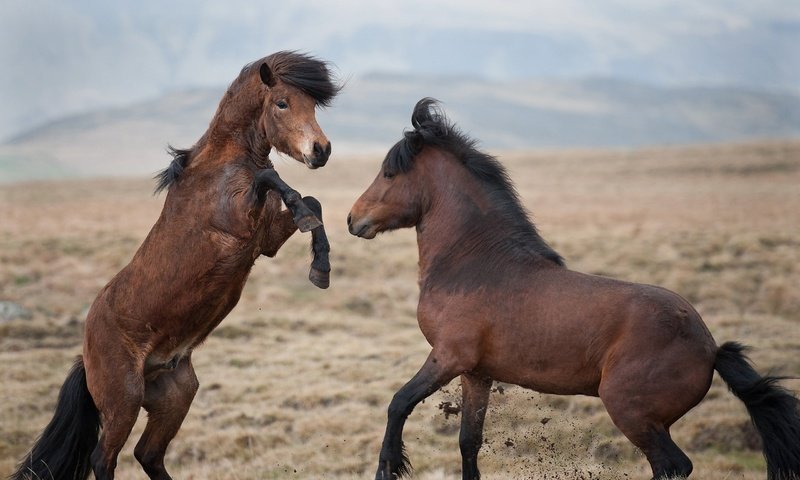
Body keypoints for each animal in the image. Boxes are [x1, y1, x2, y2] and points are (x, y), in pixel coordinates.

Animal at [10, 50, 340, 478]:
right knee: (104, 457)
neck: (222, 165)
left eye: (312, 105)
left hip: (175, 394)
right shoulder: (239, 223)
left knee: (148, 453)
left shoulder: (264, 240)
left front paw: (321, 268)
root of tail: (86, 354)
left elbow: (312, 203)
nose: (321, 150)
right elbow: (273, 179)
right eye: (282, 103)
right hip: (124, 400)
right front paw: (309, 236)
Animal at [348, 97, 800, 480]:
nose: (354, 219)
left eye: (389, 173)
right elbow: (469, 442)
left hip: (633, 414)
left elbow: (399, 402)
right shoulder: (476, 373)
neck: (475, 262)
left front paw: (388, 466)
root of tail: (709, 346)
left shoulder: (448, 357)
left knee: (673, 466)